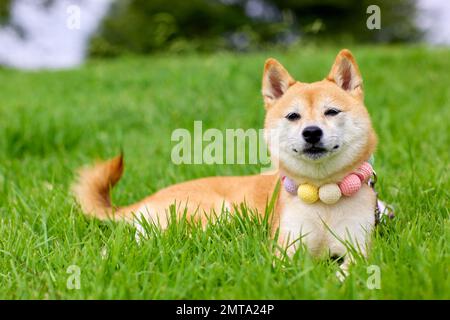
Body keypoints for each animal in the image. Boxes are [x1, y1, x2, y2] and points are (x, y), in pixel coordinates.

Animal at [74, 48, 380, 276]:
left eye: (332, 112)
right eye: (293, 116)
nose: (312, 132)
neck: (322, 196)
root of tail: (146, 201)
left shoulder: (358, 247)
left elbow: (350, 270)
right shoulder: (287, 246)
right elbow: (284, 268)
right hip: (213, 212)